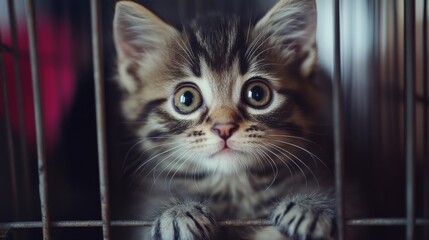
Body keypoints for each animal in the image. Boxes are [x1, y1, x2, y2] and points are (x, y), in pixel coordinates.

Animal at [113, 0, 334, 240]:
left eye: (257, 94)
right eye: (187, 98)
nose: (224, 128)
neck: (234, 187)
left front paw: (308, 208)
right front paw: (177, 214)